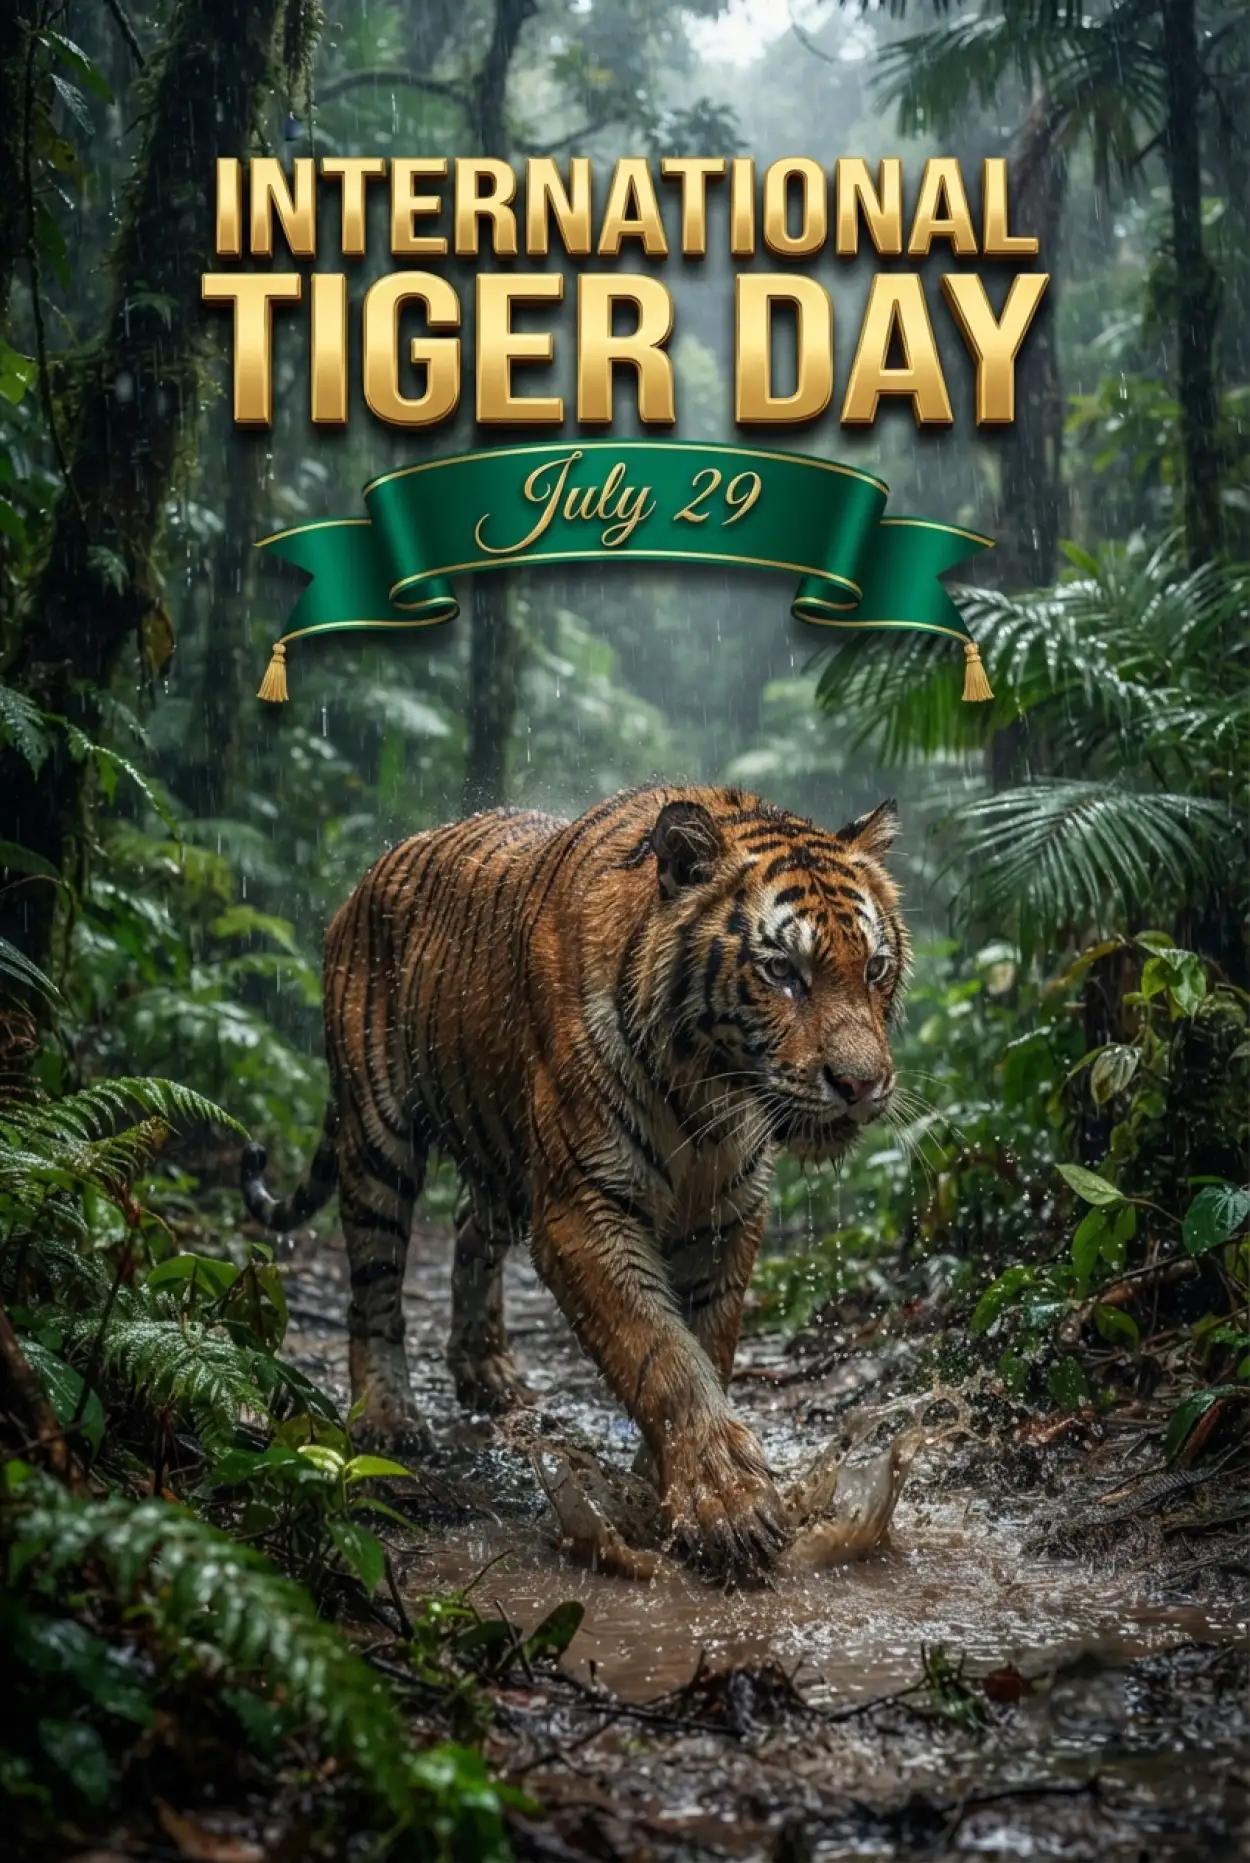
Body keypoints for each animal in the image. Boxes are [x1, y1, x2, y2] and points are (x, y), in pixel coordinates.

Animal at [241, 784, 908, 1580]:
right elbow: (662, 1355)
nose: (863, 1085)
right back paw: (387, 1417)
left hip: (500, 1149)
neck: (710, 1091)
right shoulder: (582, 1208)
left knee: (470, 1235)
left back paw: (487, 1371)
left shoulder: (725, 1215)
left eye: (874, 968)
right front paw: (726, 1504)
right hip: (378, 1135)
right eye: (782, 972)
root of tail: (370, 875)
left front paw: (669, 1486)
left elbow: (707, 1345)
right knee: (373, 1288)